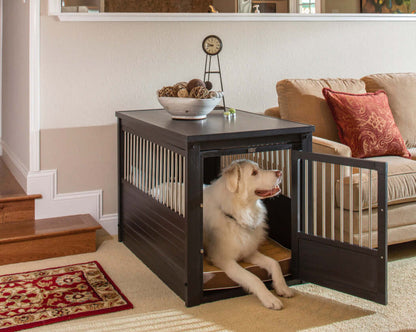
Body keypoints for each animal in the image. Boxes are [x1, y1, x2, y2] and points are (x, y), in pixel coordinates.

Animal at [203, 160, 294, 310]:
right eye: (254, 173)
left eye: (259, 168)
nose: (279, 172)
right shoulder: (225, 260)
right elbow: (254, 278)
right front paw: (270, 299)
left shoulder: (249, 252)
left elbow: (274, 263)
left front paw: (282, 287)